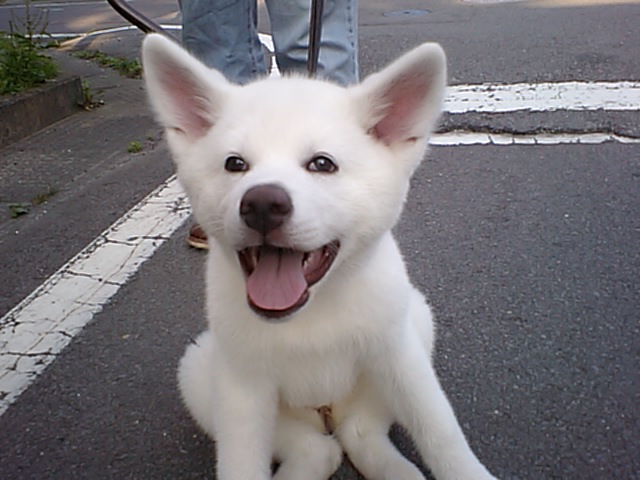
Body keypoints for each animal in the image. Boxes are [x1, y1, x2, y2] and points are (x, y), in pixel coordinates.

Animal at [141, 33, 497, 480]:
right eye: (235, 164)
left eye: (322, 164)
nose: (262, 204)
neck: (311, 315)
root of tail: (327, 412)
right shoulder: (242, 387)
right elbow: (241, 461)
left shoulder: (399, 355)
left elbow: (441, 433)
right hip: (202, 369)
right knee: (317, 449)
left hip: (413, 325)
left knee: (360, 431)